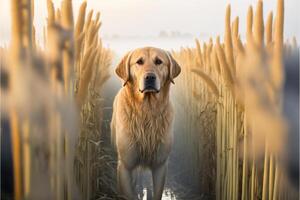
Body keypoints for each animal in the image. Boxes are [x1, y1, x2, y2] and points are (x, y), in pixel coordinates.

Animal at [110, 46, 180, 199]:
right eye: (139, 62)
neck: (146, 110)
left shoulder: (160, 165)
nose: (150, 77)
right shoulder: (125, 166)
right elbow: (129, 194)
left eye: (159, 61)